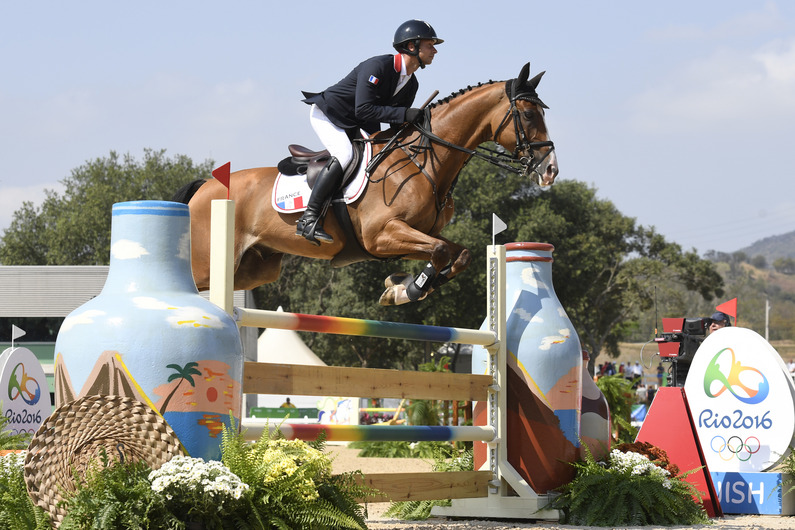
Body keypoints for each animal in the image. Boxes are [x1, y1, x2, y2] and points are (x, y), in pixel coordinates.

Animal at [174, 60, 560, 306]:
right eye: (528, 114)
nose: (551, 169)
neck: (424, 163)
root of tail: (205, 189)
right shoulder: (381, 235)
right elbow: (439, 251)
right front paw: (409, 290)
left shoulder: (412, 235)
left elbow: (456, 253)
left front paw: (402, 288)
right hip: (207, 261)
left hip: (252, 269)